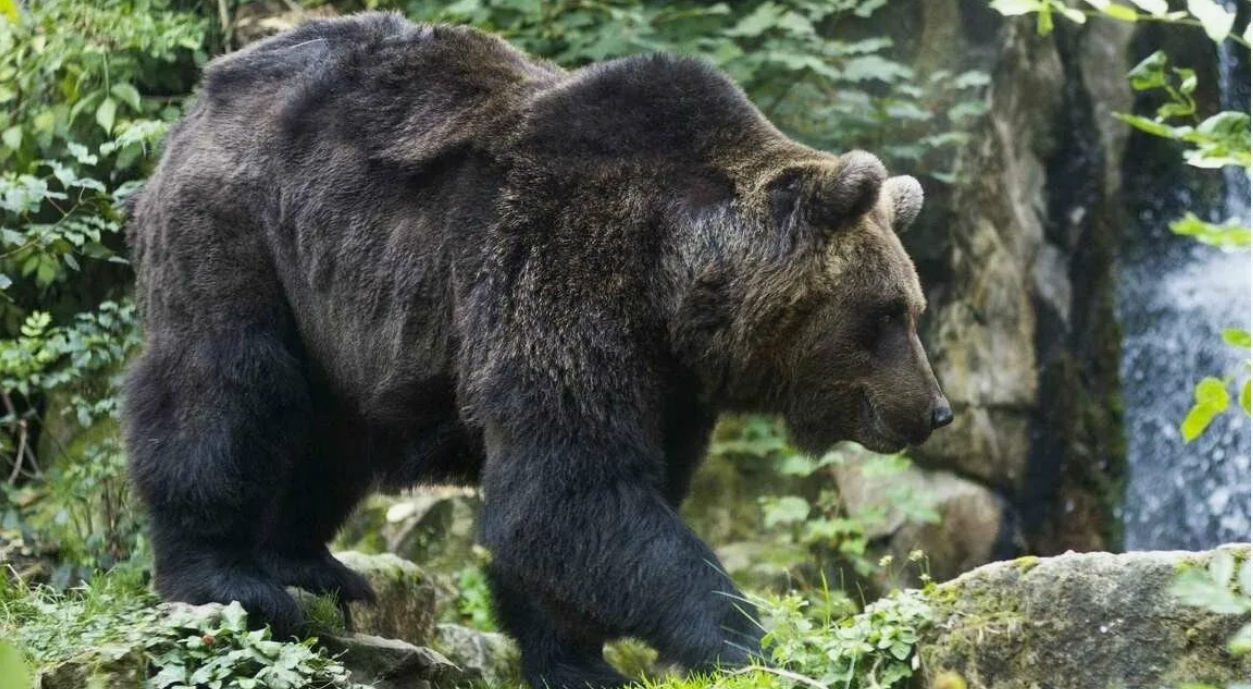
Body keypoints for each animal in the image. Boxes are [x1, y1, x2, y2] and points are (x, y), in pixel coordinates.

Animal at [122, 12, 952, 689]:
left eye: (910, 308)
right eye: (885, 314)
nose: (935, 409)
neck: (674, 283)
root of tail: (213, 87)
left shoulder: (667, 382)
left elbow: (587, 510)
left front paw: (577, 658)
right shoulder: (563, 275)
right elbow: (565, 488)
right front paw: (746, 638)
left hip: (338, 312)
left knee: (333, 434)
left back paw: (316, 565)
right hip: (246, 230)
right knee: (225, 384)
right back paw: (228, 575)